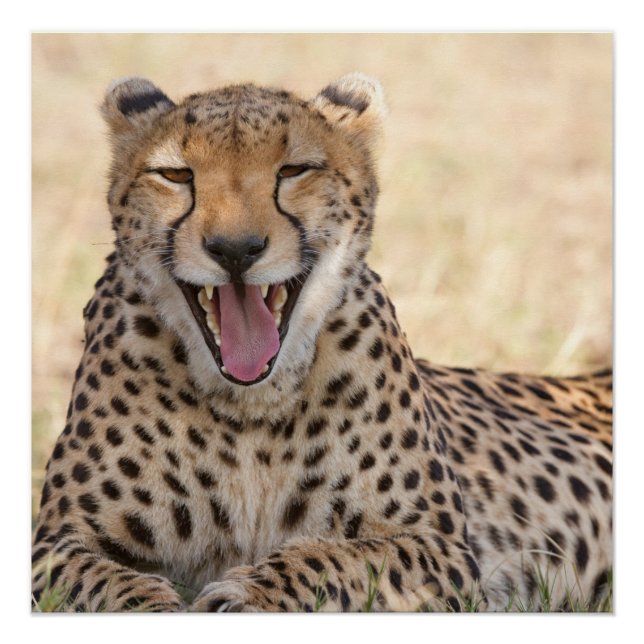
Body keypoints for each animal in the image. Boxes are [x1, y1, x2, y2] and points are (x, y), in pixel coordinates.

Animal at [31, 73, 612, 612]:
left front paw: (247, 596)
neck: (249, 407)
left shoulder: (438, 546)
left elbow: (331, 559)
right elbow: (109, 586)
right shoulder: (57, 544)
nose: (236, 249)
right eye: (175, 175)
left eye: (294, 171)